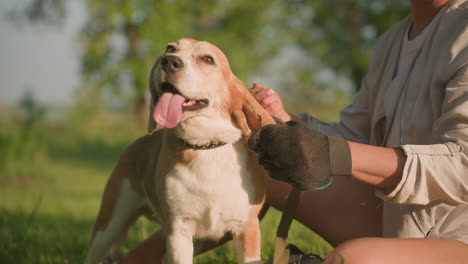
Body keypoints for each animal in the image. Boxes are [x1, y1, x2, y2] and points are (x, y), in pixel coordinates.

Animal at [84, 38, 274, 264]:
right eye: (170, 48)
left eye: (207, 59)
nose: (169, 61)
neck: (206, 146)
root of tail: (136, 144)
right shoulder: (178, 232)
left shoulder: (247, 229)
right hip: (109, 226)